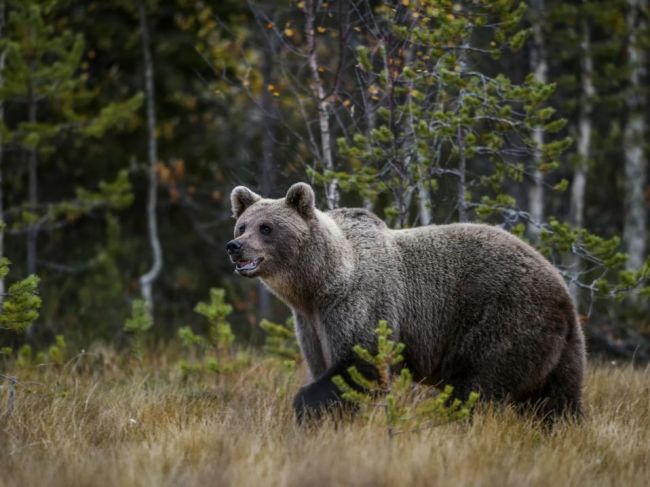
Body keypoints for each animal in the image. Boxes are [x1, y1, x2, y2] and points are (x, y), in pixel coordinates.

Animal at [227, 183, 584, 424]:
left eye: (267, 227)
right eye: (242, 225)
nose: (235, 246)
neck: (318, 285)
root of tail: (561, 286)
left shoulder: (358, 304)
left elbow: (361, 364)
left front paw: (307, 410)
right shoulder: (311, 324)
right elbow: (325, 367)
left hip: (504, 321)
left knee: (478, 387)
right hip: (559, 348)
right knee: (557, 399)